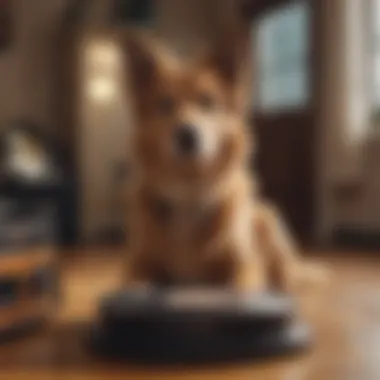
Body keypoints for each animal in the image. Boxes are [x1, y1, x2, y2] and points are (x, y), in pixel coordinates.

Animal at [120, 31, 326, 292]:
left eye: (207, 101)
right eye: (164, 104)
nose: (186, 135)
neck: (191, 192)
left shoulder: (244, 262)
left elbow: (242, 285)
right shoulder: (139, 260)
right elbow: (135, 280)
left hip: (266, 218)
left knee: (284, 276)